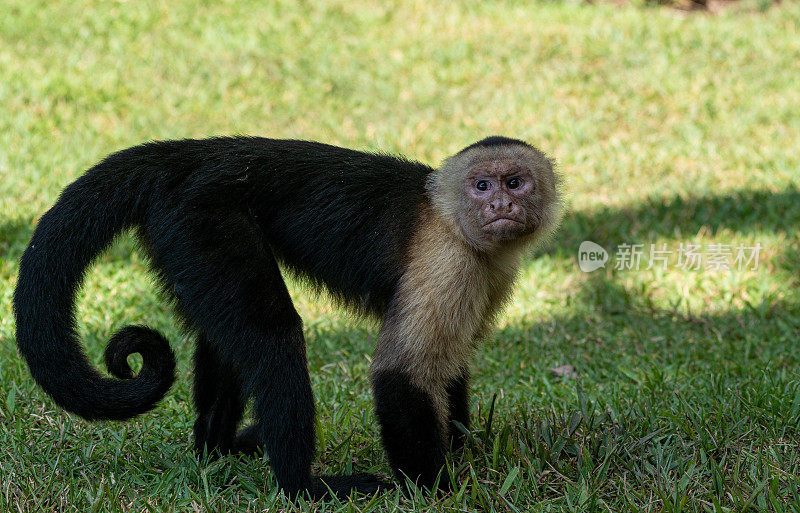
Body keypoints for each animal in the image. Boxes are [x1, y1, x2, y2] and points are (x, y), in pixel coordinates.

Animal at [12, 136, 564, 500]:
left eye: (515, 182)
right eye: (482, 184)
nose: (500, 203)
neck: (452, 220)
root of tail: (186, 154)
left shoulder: (488, 273)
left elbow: (451, 366)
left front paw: (464, 449)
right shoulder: (448, 261)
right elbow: (402, 372)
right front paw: (435, 488)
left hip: (182, 236)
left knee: (228, 337)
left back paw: (217, 449)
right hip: (204, 216)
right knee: (272, 334)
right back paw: (304, 486)